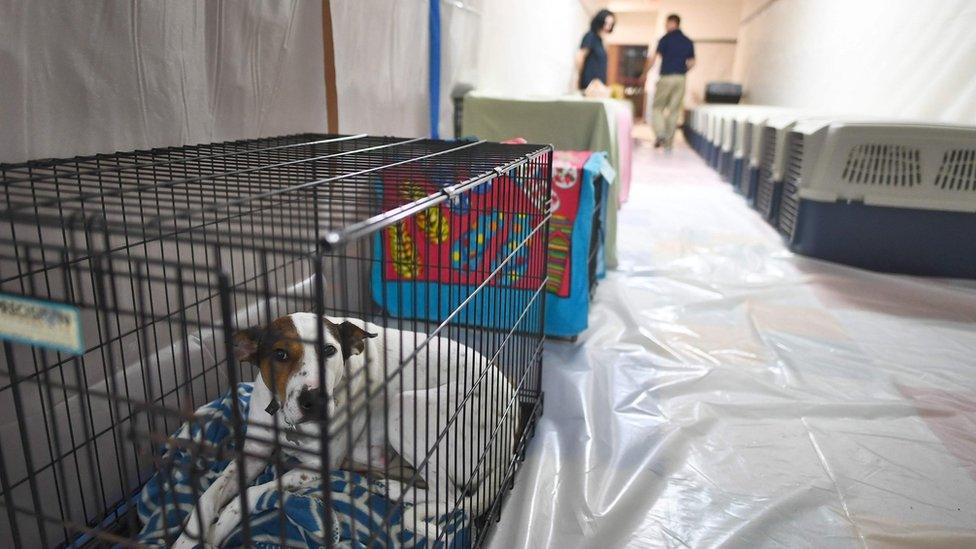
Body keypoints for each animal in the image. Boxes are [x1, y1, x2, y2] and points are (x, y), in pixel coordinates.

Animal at [173, 312, 520, 548]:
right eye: (280, 354)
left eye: (329, 350)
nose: (315, 399)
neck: (288, 423)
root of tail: (508, 439)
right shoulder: (253, 452)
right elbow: (209, 495)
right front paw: (187, 537)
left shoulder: (317, 467)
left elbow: (251, 494)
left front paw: (219, 527)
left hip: (404, 406)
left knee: (450, 495)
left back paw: (391, 487)